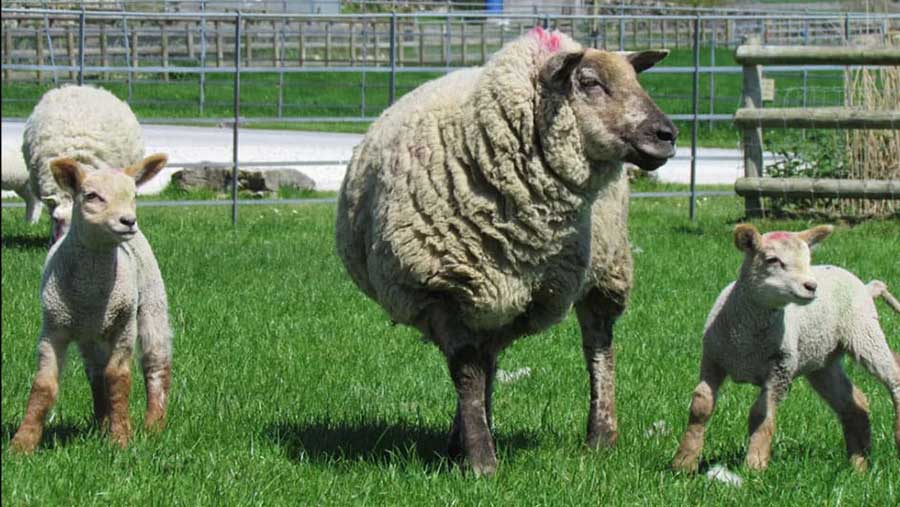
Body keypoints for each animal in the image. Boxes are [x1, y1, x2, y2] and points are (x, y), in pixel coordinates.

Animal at [10, 154, 173, 454]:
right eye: (92, 196)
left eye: (134, 195)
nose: (128, 221)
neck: (92, 291)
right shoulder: (53, 328)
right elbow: (43, 385)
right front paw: (22, 443)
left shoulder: (124, 326)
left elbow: (118, 379)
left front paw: (121, 439)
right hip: (89, 335)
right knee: (96, 375)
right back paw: (101, 423)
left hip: (152, 303)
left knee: (156, 364)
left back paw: (153, 425)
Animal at [336, 28, 677, 475]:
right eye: (588, 82)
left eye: (636, 80)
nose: (667, 135)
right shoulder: (444, 291)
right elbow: (467, 374)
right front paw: (480, 457)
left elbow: (471, 374)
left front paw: (480, 460)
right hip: (498, 299)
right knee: (487, 363)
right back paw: (461, 439)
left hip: (605, 269)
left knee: (598, 348)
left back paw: (601, 438)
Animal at [672, 224, 900, 473]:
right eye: (773, 260)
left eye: (808, 259)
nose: (811, 286)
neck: (746, 339)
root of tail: (867, 288)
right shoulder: (712, 358)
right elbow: (701, 405)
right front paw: (684, 462)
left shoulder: (780, 368)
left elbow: (761, 415)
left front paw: (755, 464)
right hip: (822, 362)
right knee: (854, 404)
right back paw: (859, 465)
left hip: (864, 333)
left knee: (893, 377)